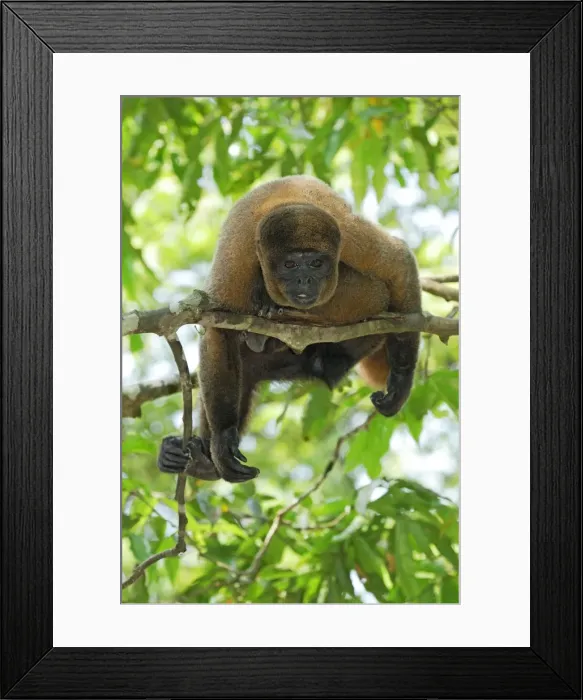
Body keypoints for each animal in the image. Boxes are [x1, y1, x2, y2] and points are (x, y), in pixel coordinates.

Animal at [158, 176, 421, 483]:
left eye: (316, 263)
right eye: (290, 264)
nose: (305, 280)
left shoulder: (350, 238)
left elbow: (398, 265)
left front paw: (401, 381)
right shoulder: (236, 259)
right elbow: (220, 330)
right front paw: (222, 440)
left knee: (377, 296)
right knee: (245, 369)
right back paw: (202, 461)